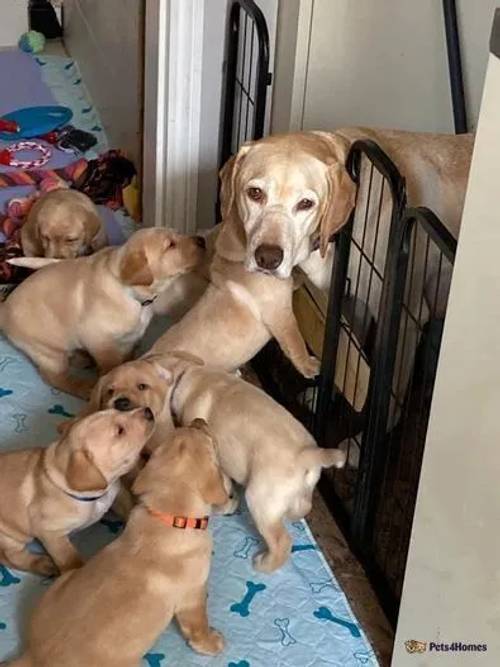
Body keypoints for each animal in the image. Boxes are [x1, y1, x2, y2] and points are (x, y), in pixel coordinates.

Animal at [0, 408, 154, 580]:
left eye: (119, 410)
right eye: (120, 431)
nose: (148, 410)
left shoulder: (117, 494)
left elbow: (129, 507)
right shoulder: (51, 533)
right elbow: (69, 559)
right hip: (9, 536)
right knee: (11, 556)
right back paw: (43, 564)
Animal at [1, 227, 205, 400]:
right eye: (170, 245)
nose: (202, 240)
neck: (132, 295)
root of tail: (4, 307)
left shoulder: (129, 338)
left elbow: (127, 356)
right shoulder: (98, 339)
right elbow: (111, 364)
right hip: (47, 350)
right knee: (55, 377)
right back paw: (84, 386)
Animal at [10, 420, 228, 664]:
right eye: (206, 437)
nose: (198, 421)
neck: (169, 517)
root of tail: (33, 656)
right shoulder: (192, 598)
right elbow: (198, 625)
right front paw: (211, 642)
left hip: (62, 581)